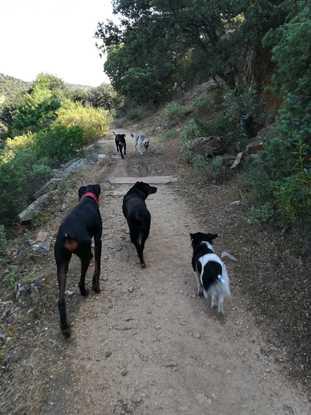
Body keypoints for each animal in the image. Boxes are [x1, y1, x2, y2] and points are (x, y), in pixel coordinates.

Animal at [54, 184, 102, 338]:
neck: (87, 198)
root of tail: (68, 236)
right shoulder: (98, 239)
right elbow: (98, 265)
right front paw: (96, 285)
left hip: (61, 264)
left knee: (61, 300)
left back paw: (64, 328)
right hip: (86, 254)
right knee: (80, 280)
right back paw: (85, 291)